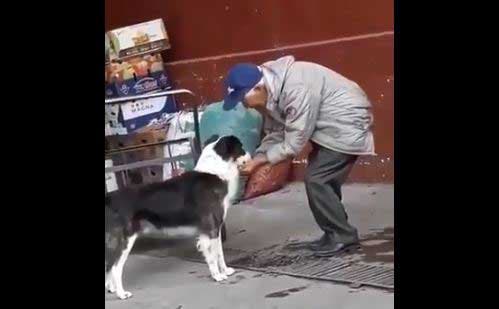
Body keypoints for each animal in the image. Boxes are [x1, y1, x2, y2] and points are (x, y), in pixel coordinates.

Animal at [107, 135, 252, 298]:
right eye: (241, 147)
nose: (250, 156)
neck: (215, 171)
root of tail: (110, 197)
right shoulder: (211, 229)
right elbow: (213, 256)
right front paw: (218, 276)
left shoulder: (215, 229)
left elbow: (219, 253)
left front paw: (225, 271)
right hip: (125, 240)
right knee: (115, 268)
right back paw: (121, 293)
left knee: (109, 266)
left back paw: (112, 288)